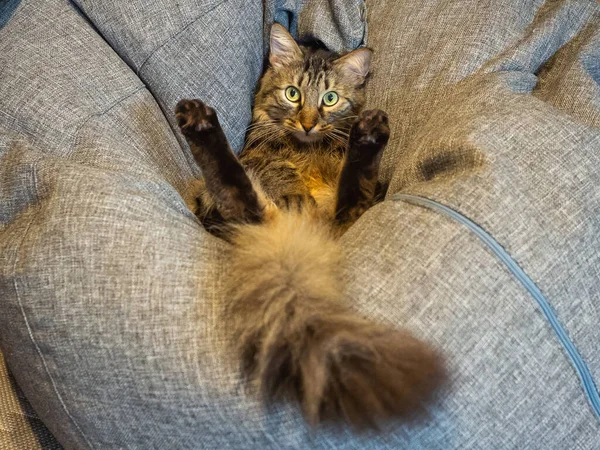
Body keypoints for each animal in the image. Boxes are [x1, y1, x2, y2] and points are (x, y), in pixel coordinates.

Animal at [176, 22, 442, 428]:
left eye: (330, 98)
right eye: (293, 94)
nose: (308, 123)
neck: (307, 150)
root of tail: (294, 240)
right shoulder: (262, 159)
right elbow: (278, 175)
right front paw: (293, 193)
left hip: (338, 210)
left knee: (348, 190)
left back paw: (369, 133)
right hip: (234, 208)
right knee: (236, 190)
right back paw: (199, 120)